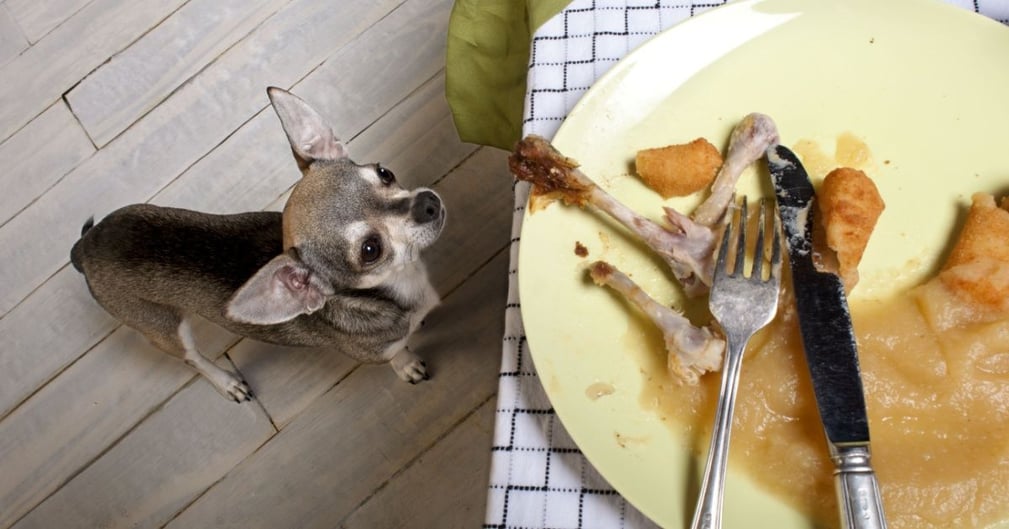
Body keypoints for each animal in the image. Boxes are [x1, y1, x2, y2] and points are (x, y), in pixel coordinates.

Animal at [71, 87, 445, 401]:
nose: (428, 203)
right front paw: (407, 364)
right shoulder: (379, 352)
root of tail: (85, 248)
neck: (402, 282)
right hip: (164, 330)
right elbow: (398, 353)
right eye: (370, 250)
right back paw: (227, 382)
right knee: (192, 359)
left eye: (384, 173)